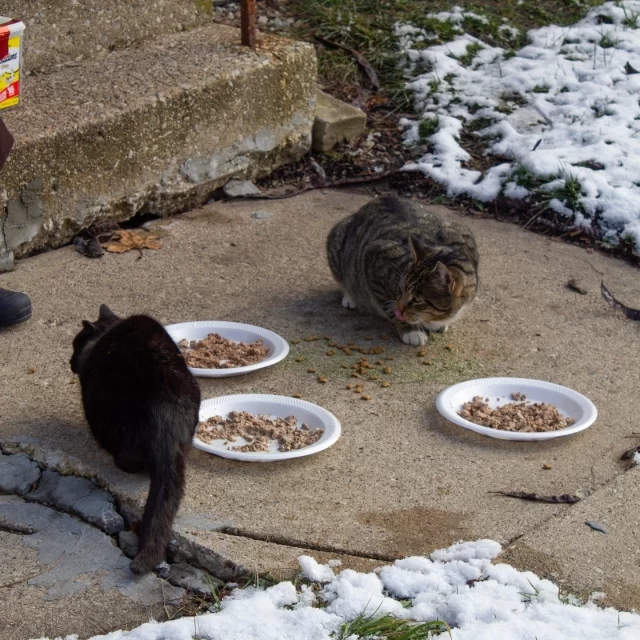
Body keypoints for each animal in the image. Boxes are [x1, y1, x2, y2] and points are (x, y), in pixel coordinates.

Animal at [328, 195, 478, 344]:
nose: (400, 308)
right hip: (338, 241)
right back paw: (351, 297)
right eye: (400, 289)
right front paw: (411, 330)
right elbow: (389, 306)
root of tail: (381, 197)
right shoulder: (375, 256)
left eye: (417, 300)